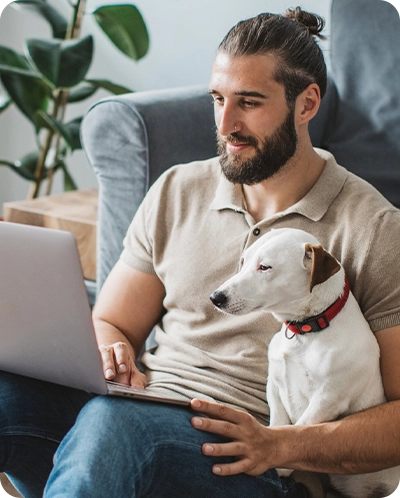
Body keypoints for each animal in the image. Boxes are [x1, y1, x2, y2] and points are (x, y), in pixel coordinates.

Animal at [209, 229, 400, 498]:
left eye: (265, 267)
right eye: (244, 261)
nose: (215, 297)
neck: (307, 329)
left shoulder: (328, 400)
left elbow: (298, 428)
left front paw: (277, 465)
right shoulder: (275, 385)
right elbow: (279, 423)